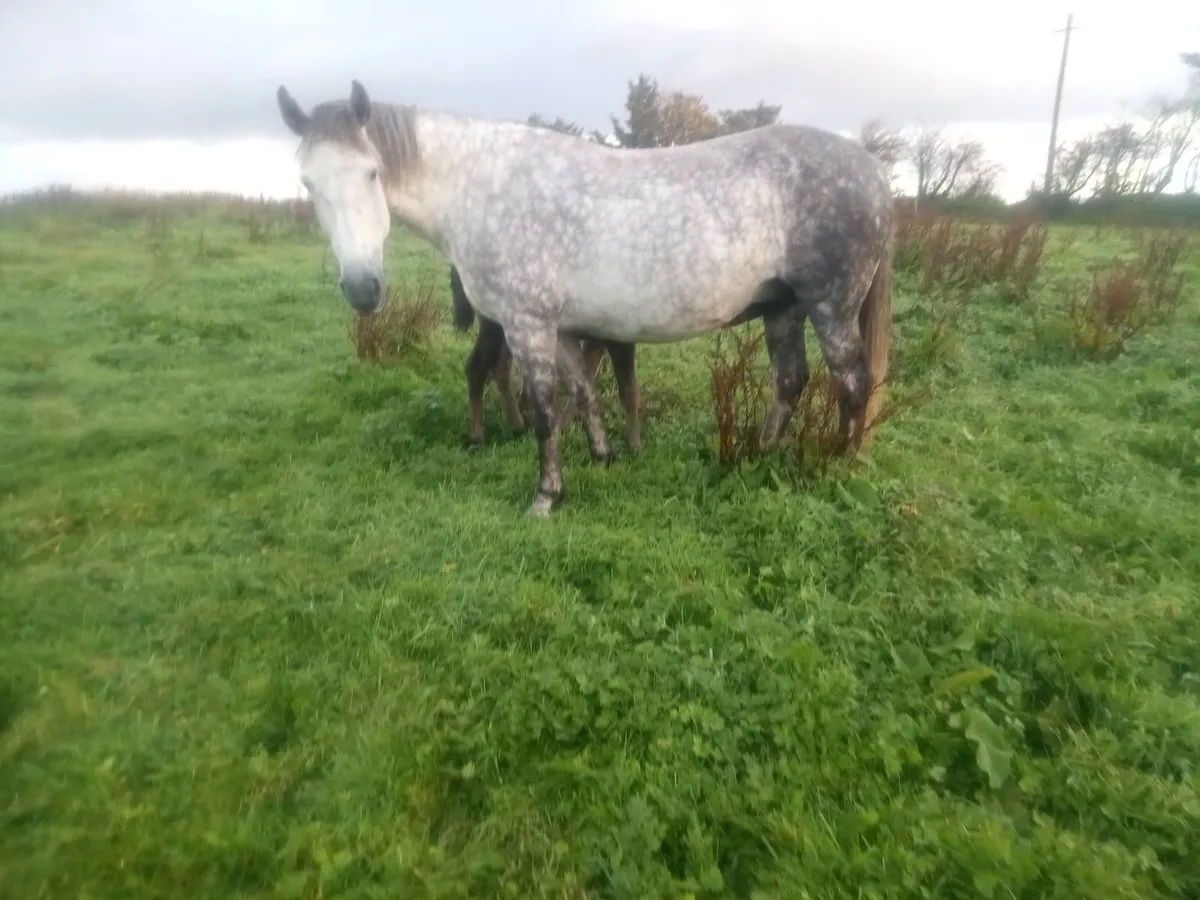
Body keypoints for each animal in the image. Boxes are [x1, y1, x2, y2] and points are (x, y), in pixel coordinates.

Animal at [449, 265, 642, 452]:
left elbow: (585, 380)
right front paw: (634, 446)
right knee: (476, 366)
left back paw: (518, 426)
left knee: (499, 366)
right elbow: (627, 389)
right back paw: (478, 437)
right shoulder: (616, 337)